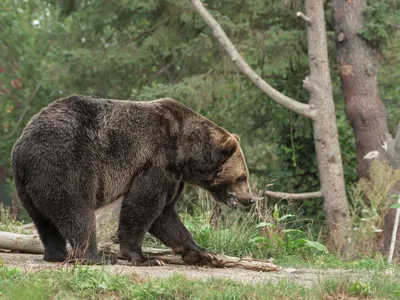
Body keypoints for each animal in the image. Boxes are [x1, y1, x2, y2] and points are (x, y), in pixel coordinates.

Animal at [12, 94, 258, 264]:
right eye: (242, 177)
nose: (250, 199)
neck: (184, 152)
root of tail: (22, 148)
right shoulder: (156, 161)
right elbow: (143, 206)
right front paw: (143, 257)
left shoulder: (173, 175)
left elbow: (165, 216)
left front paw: (205, 253)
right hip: (66, 164)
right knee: (77, 212)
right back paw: (96, 257)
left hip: (30, 187)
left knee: (44, 221)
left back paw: (56, 254)